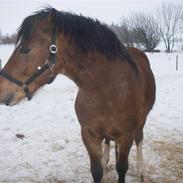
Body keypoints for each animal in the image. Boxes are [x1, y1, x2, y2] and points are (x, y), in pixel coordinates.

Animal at [0, 7, 156, 183]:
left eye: (25, 49)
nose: (1, 89)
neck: (109, 89)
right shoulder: (89, 135)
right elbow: (97, 171)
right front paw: (103, 164)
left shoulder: (126, 136)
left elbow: (122, 168)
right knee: (108, 141)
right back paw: (106, 160)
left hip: (141, 122)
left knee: (139, 139)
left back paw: (142, 170)